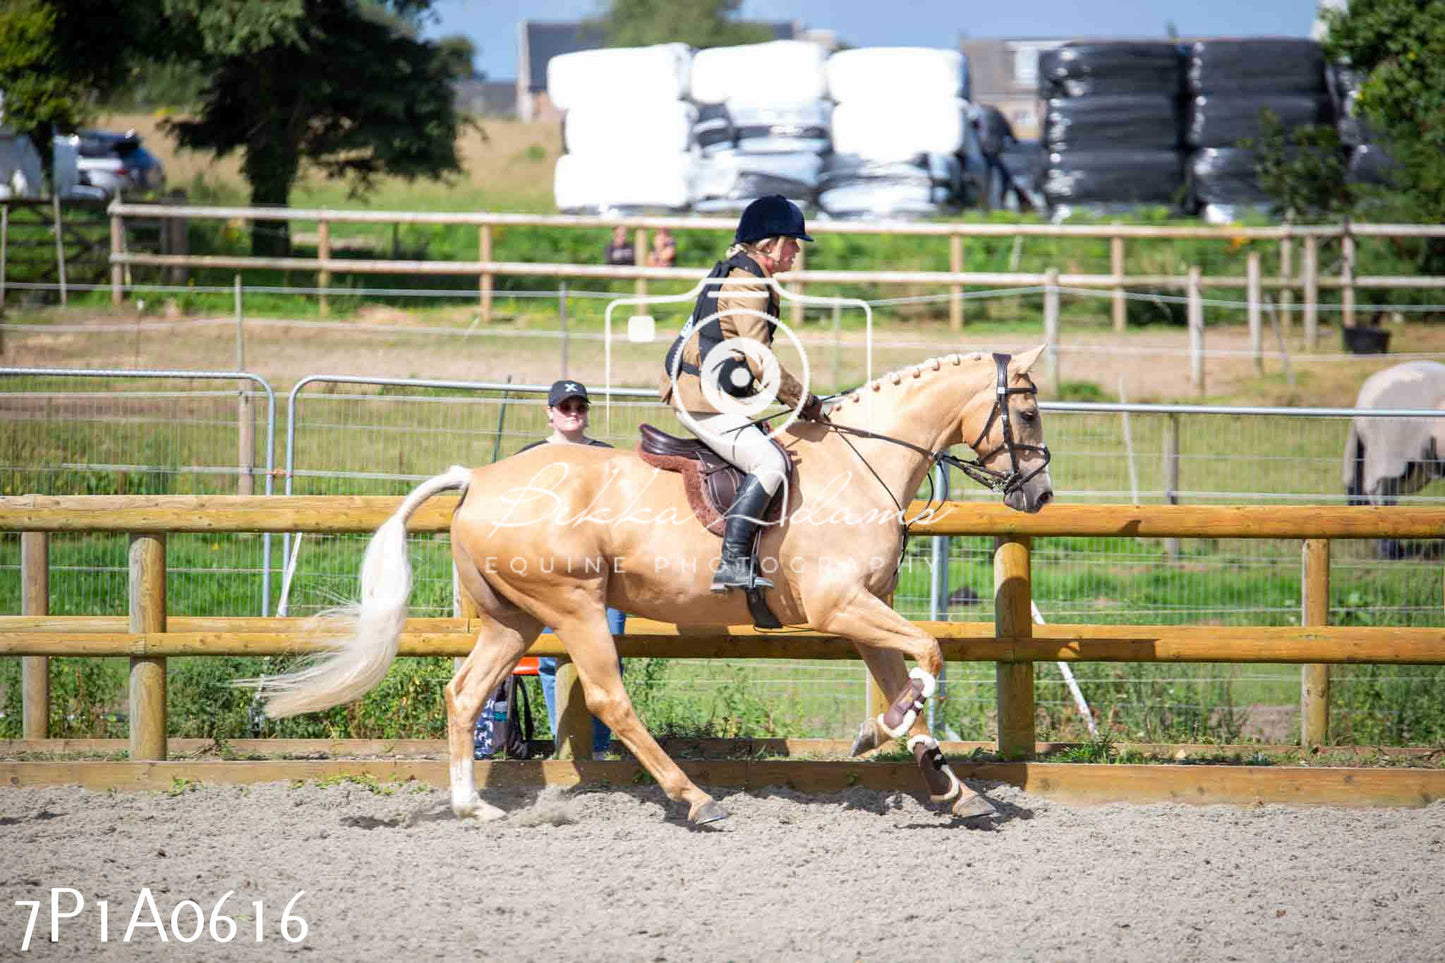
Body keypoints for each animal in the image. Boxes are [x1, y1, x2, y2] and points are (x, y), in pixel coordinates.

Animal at [254, 347, 1057, 827]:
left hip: (513, 620)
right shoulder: (842, 606)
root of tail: (478, 477)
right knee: (611, 699)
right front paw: (881, 736)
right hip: (574, 606)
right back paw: (694, 798)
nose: (1040, 494)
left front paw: (946, 783)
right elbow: (930, 655)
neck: (860, 465)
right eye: (1025, 410)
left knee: (464, 692)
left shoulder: (866, 610)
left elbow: (906, 677)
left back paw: (472, 808)